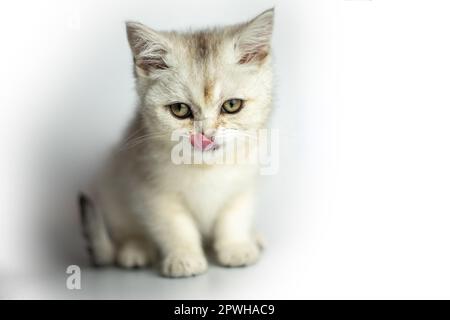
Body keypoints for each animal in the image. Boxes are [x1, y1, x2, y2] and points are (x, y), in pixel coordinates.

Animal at [80, 8, 274, 278]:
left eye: (232, 105)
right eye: (180, 110)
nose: (205, 135)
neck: (207, 169)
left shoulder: (243, 184)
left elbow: (234, 217)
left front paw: (236, 248)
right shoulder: (152, 189)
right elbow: (175, 226)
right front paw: (184, 258)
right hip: (111, 182)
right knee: (124, 228)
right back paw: (135, 249)